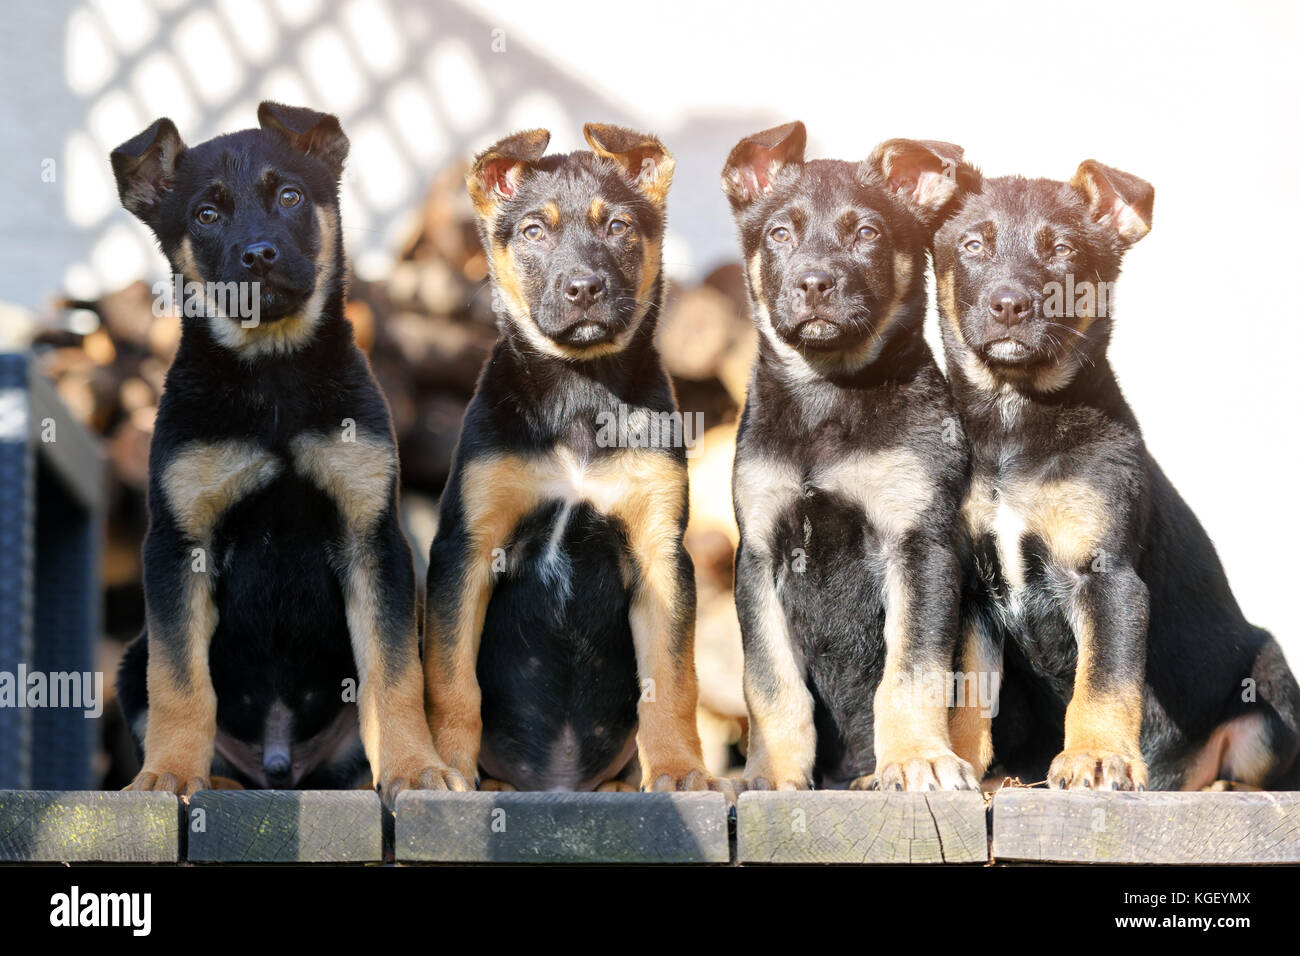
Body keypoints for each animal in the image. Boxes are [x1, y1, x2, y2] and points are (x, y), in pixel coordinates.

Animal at [111, 102, 457, 801]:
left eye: (291, 196)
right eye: (205, 214)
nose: (259, 255)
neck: (270, 370)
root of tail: (281, 765)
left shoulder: (371, 537)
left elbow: (392, 674)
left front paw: (414, 769)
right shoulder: (178, 543)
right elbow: (180, 681)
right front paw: (167, 775)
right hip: (130, 661)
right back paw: (215, 781)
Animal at [421, 123, 722, 790]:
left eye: (618, 227)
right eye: (535, 230)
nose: (584, 288)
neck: (580, 392)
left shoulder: (661, 551)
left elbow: (673, 679)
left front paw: (680, 769)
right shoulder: (468, 545)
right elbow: (450, 677)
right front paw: (447, 769)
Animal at [722, 121, 982, 790]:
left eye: (867, 232)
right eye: (779, 233)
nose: (815, 283)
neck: (828, 391)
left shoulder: (919, 543)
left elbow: (911, 670)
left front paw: (918, 760)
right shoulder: (759, 553)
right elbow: (770, 682)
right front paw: (771, 776)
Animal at [935, 157, 1300, 790]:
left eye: (1062, 250)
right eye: (972, 245)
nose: (1010, 305)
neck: (1012, 424)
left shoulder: (1107, 576)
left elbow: (1103, 680)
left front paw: (1095, 757)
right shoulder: (973, 588)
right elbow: (969, 688)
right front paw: (955, 764)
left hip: (1271, 688)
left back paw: (1215, 782)